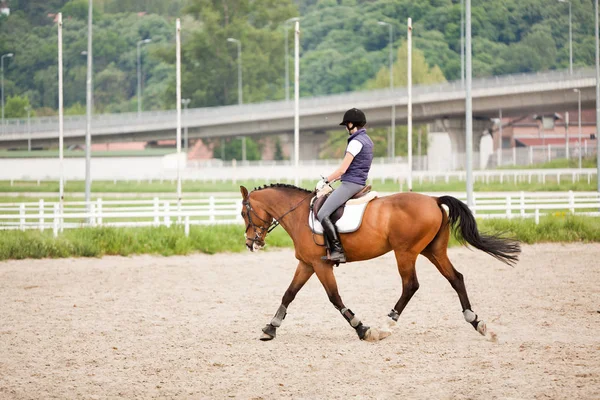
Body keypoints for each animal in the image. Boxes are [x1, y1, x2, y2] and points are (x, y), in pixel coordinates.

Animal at [239, 184, 520, 340]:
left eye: (243, 213)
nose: (251, 243)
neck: (298, 214)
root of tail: (433, 199)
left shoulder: (320, 265)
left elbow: (335, 298)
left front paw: (363, 329)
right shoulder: (307, 264)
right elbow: (289, 294)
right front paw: (270, 328)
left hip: (405, 252)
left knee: (411, 285)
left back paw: (385, 326)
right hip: (433, 251)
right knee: (456, 278)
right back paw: (477, 323)